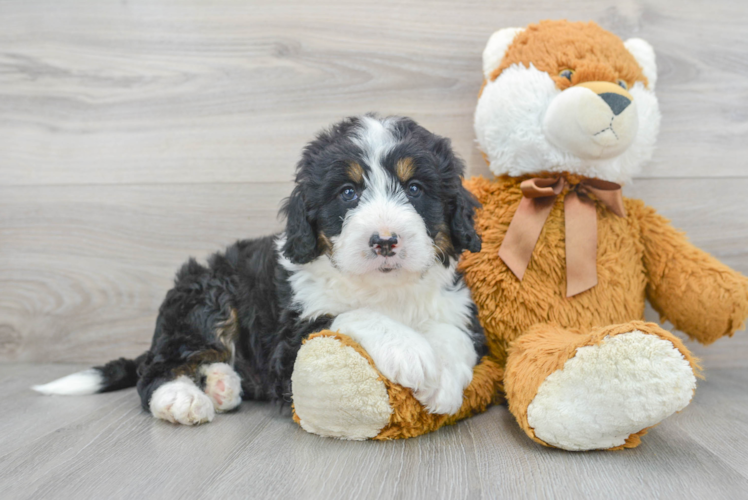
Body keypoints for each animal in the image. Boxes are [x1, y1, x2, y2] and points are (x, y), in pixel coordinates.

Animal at [33, 114, 486, 426]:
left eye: (415, 189)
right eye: (348, 193)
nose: (385, 241)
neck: (386, 288)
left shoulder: (456, 306)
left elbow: (454, 335)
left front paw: (445, 382)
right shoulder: (289, 337)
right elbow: (349, 314)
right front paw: (410, 351)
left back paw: (221, 384)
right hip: (208, 295)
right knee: (156, 369)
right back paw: (181, 399)